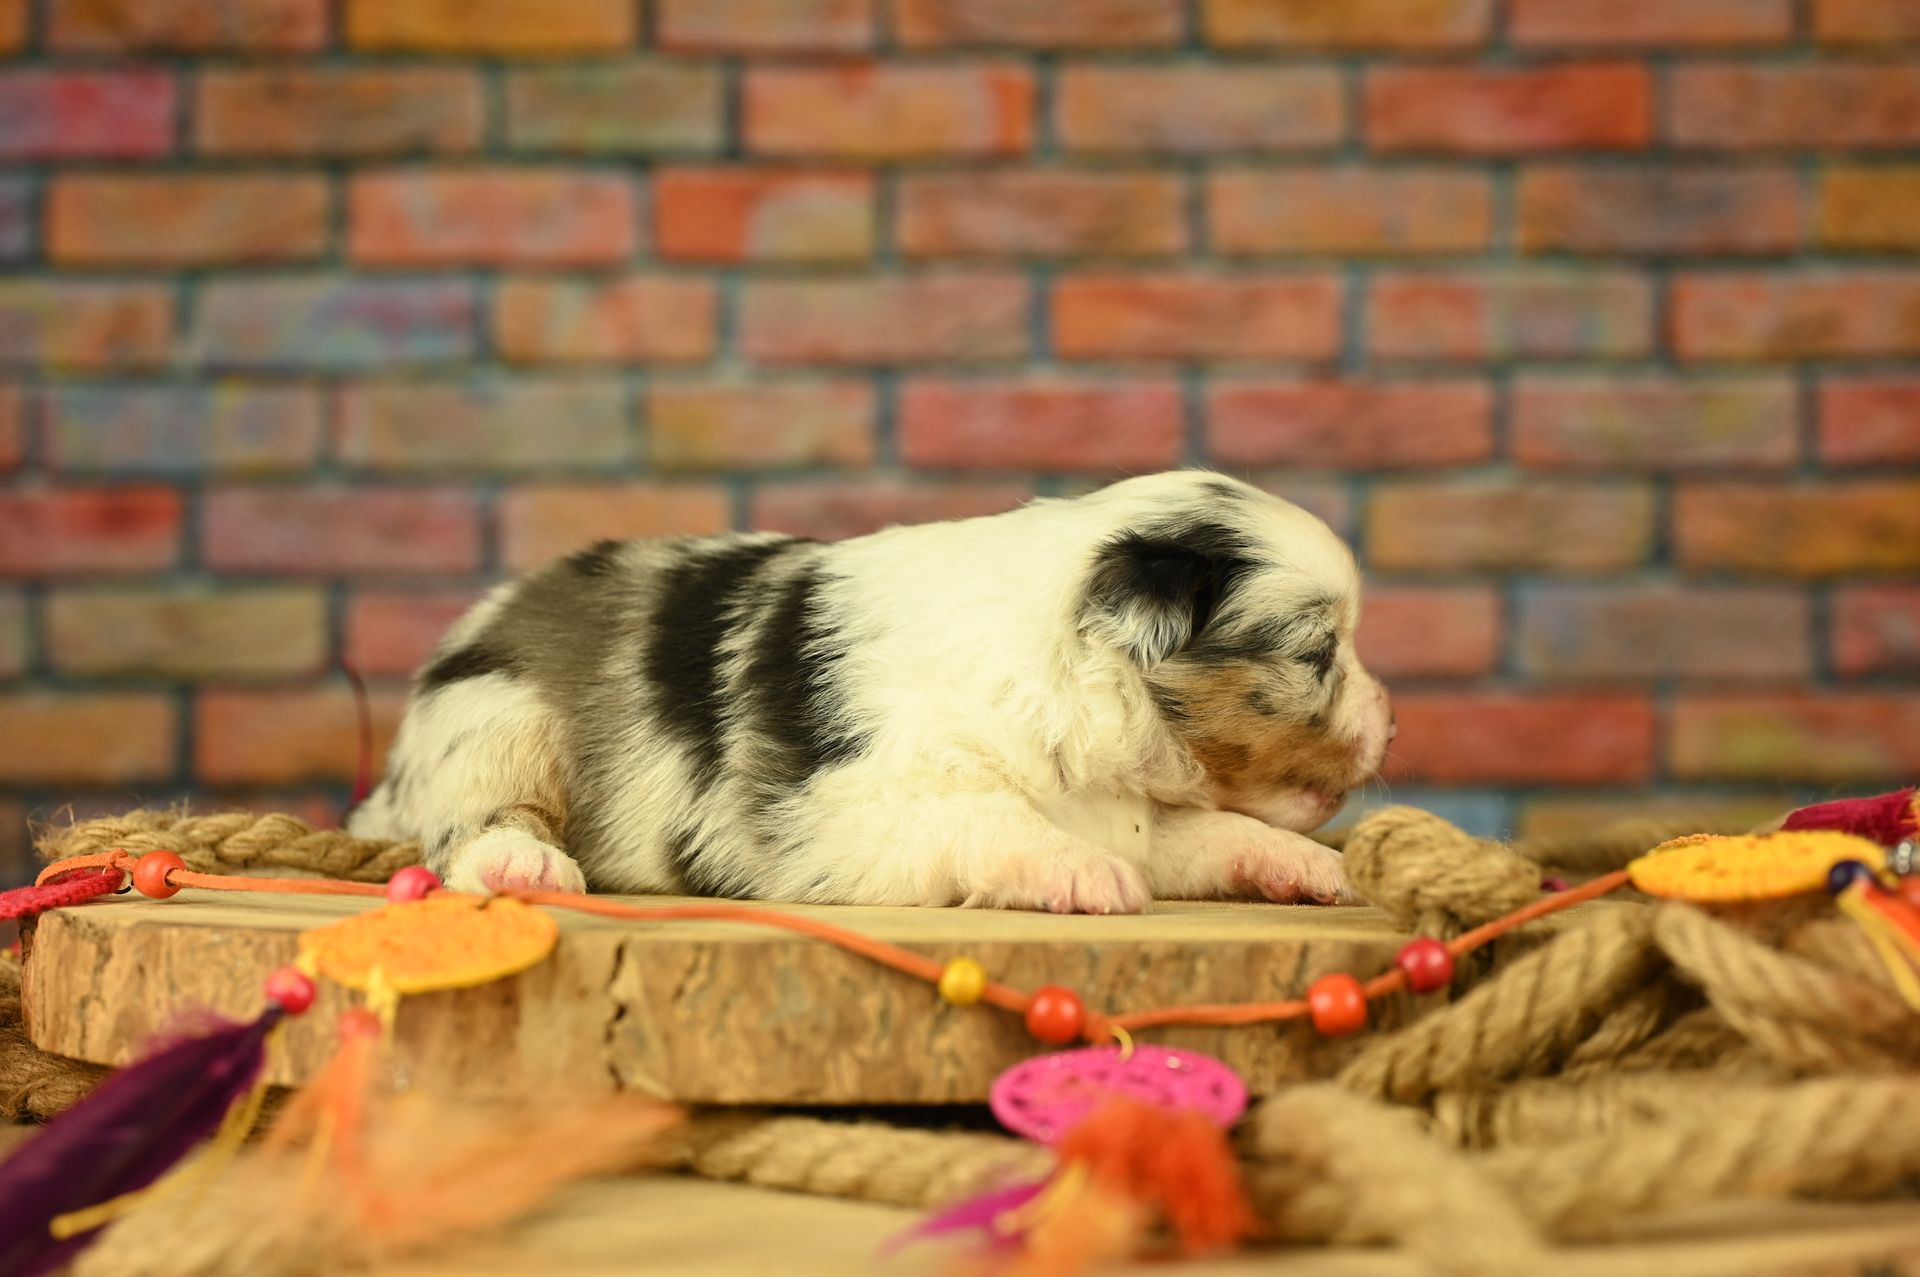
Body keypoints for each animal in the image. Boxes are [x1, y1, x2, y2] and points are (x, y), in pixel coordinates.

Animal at [347, 470, 1394, 913]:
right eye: (1319, 651)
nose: (1392, 718)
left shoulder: (1127, 807)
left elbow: (1207, 832)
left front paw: (1309, 867)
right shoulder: (847, 808)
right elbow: (993, 820)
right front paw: (1083, 877)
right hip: (494, 716)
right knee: (475, 823)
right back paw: (524, 866)